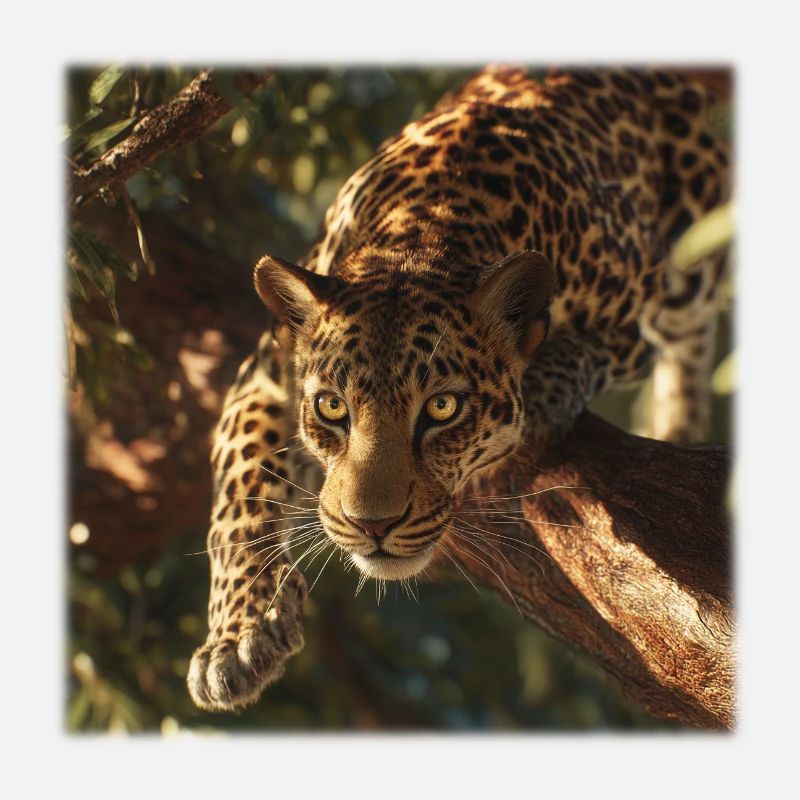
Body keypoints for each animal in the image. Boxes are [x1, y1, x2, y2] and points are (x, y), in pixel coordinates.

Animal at [187, 66, 730, 711]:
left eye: (442, 408)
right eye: (331, 407)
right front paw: (237, 636)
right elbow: (237, 498)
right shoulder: (265, 376)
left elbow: (593, 349)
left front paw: (545, 389)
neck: (422, 229)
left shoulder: (634, 307)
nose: (372, 527)